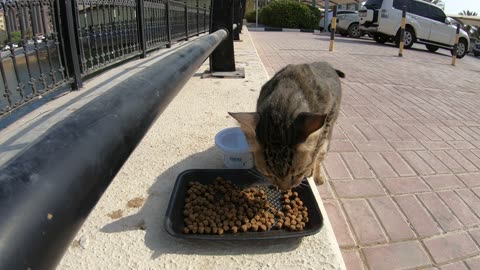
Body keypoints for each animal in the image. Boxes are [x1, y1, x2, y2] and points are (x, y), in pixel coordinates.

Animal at [231, 62, 344, 191]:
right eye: (270, 175)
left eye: (297, 174)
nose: (284, 189)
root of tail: (327, 64)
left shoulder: (322, 132)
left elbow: (315, 155)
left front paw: (310, 169)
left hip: (329, 124)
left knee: (321, 153)